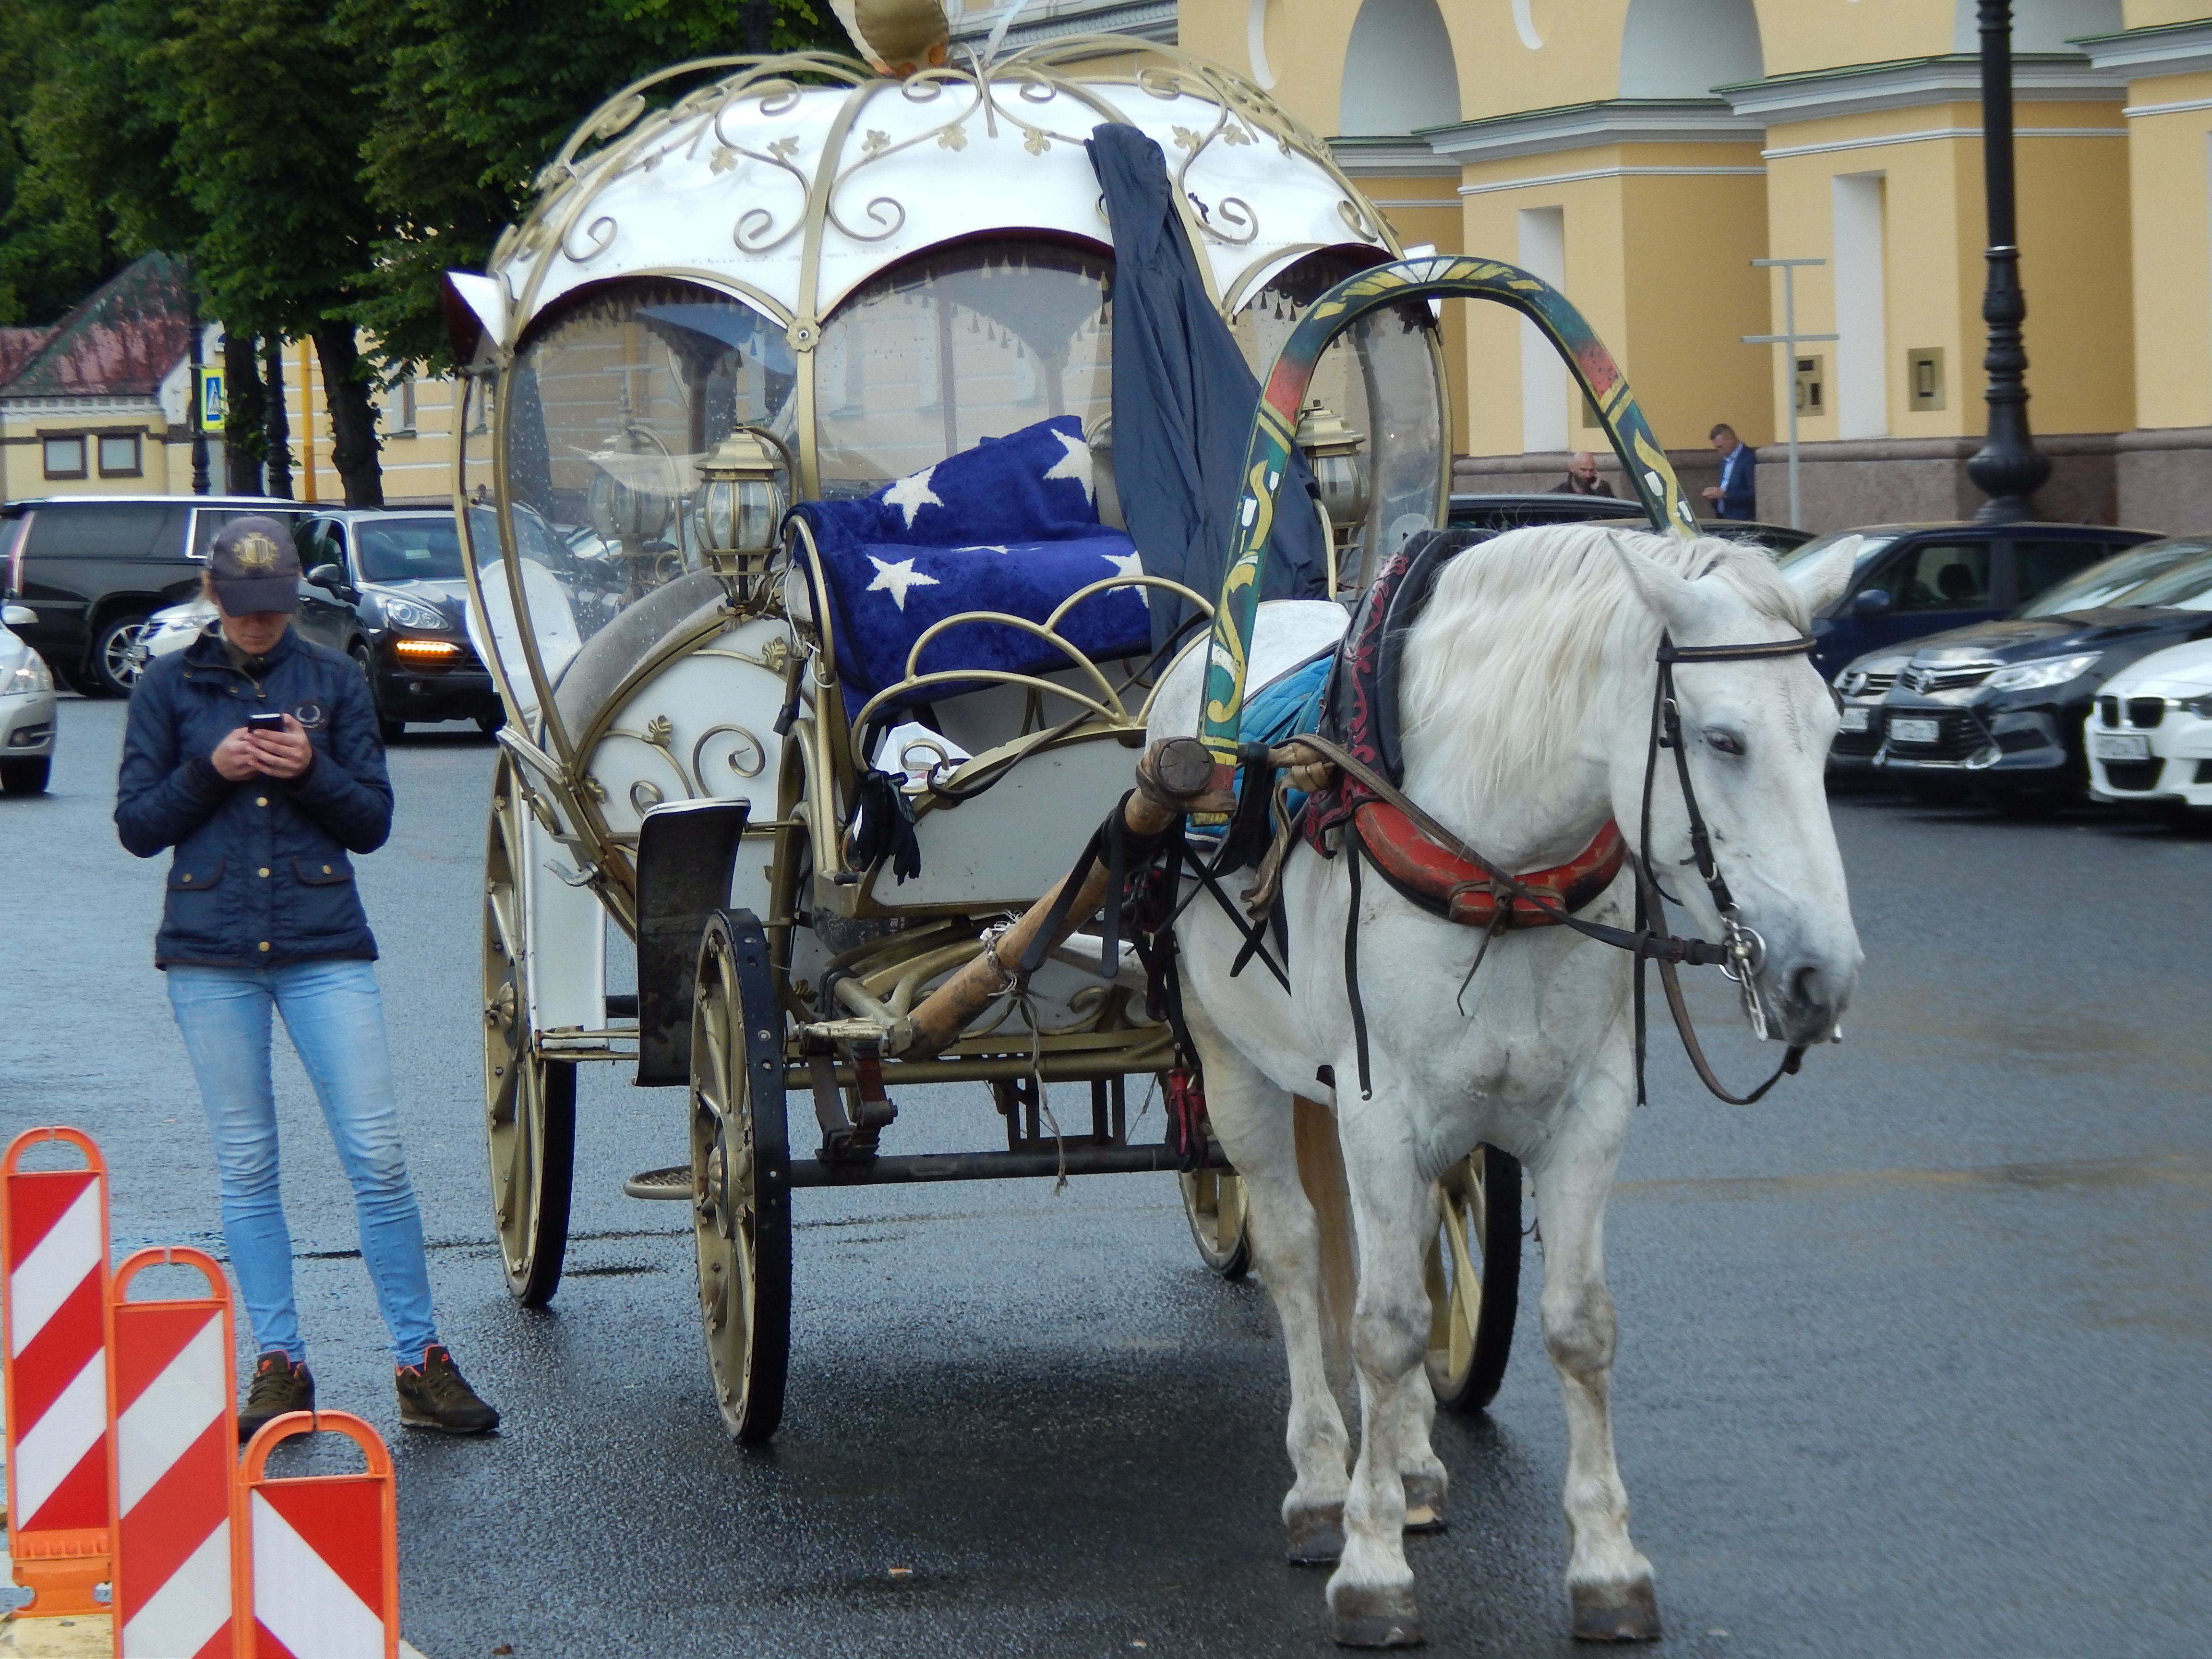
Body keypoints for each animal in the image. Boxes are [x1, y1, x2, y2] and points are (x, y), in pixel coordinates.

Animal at [1159, 522, 1867, 1654]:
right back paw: (1322, 1483)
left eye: (1835, 733)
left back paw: (1407, 1465)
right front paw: (1370, 1567)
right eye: (1723, 741)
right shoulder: (1375, 1112)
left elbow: (1577, 1326)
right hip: (1235, 1065)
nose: (1819, 978)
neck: (1499, 863)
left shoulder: (1585, 1115)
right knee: (1295, 1255)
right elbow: (1383, 1327)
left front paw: (1608, 1564)